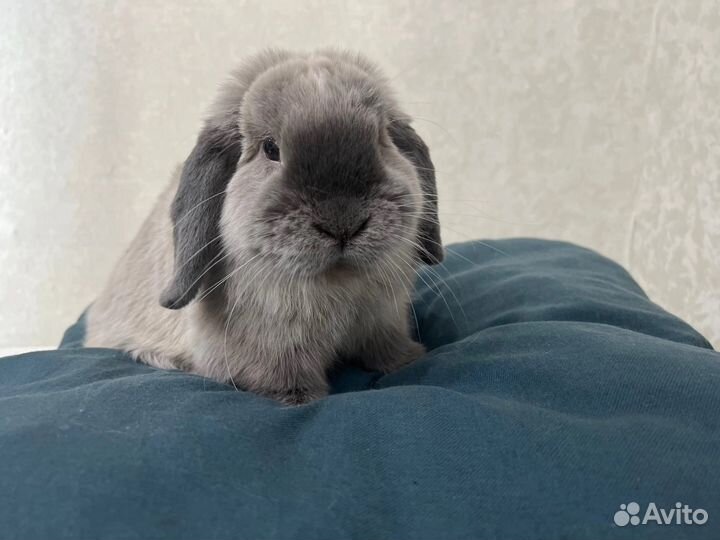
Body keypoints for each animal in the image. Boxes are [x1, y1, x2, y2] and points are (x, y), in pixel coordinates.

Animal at [85, 49, 443, 405]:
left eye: (382, 139)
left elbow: (386, 350)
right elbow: (281, 379)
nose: (343, 223)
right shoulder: (269, 350)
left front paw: (409, 359)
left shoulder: (383, 322)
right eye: (271, 149)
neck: (336, 283)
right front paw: (299, 398)